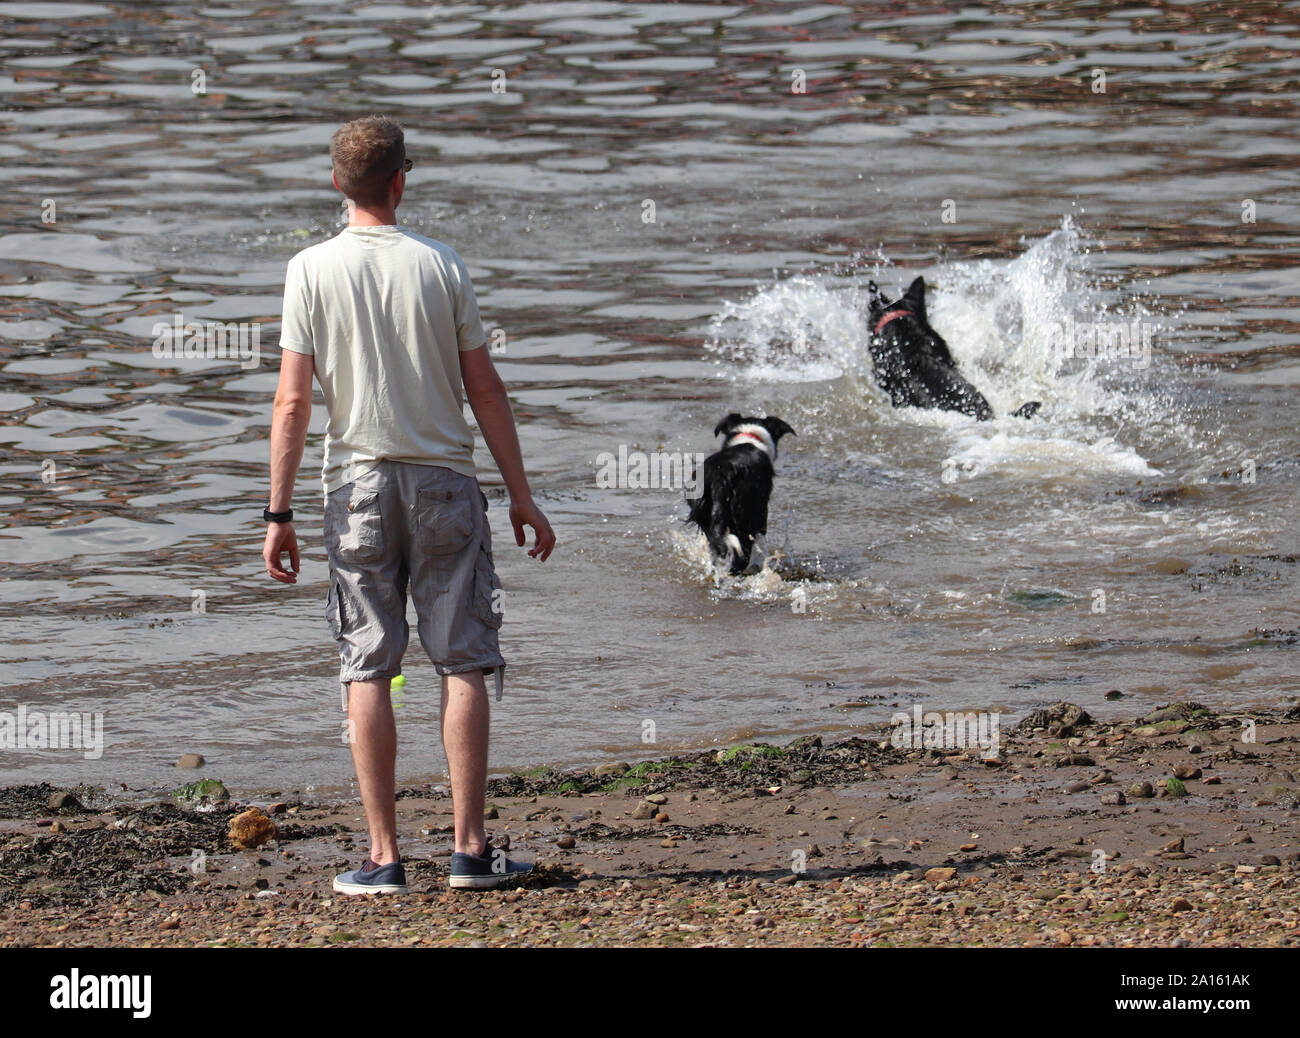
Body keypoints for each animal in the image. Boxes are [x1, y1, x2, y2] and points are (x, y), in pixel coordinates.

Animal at [691, 413, 790, 577]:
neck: (749, 436)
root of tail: (722, 475)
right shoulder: (761, 513)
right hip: (744, 514)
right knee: (741, 555)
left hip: (704, 512)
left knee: (718, 548)